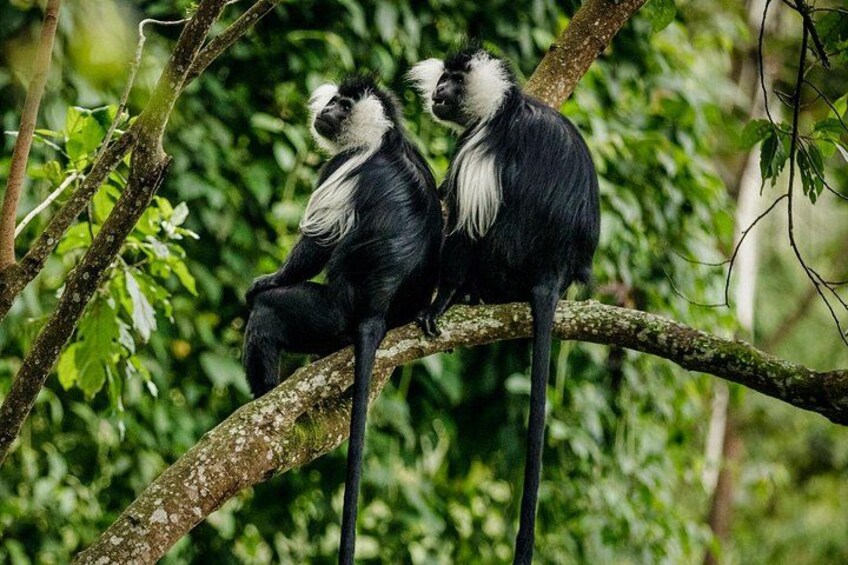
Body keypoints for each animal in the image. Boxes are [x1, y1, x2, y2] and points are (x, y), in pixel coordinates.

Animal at [243, 76, 443, 565]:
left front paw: (267, 280)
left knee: (270, 314)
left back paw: (263, 394)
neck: (382, 137)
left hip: (328, 314)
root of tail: (375, 311)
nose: (327, 110)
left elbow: (315, 244)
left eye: (343, 105)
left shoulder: (341, 166)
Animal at [409, 48, 600, 564]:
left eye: (453, 81)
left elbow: (464, 227)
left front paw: (441, 301)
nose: (438, 93)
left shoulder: (479, 147)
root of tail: (551, 272)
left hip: (502, 261)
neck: (501, 107)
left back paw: (465, 295)